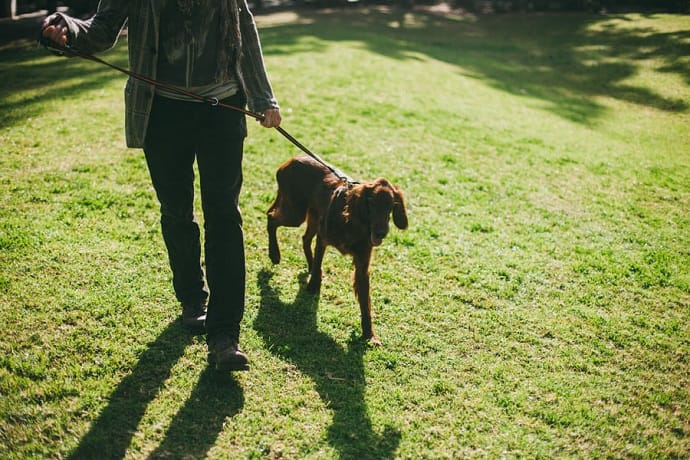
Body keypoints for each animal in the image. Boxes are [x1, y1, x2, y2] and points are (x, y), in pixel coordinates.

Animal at [266, 155, 406, 344]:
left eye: (391, 206)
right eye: (371, 203)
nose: (381, 233)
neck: (354, 223)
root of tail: (292, 159)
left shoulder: (362, 265)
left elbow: (365, 303)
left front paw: (369, 335)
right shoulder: (323, 238)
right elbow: (319, 265)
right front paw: (313, 286)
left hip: (312, 215)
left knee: (304, 238)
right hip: (295, 213)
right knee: (271, 218)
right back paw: (274, 254)